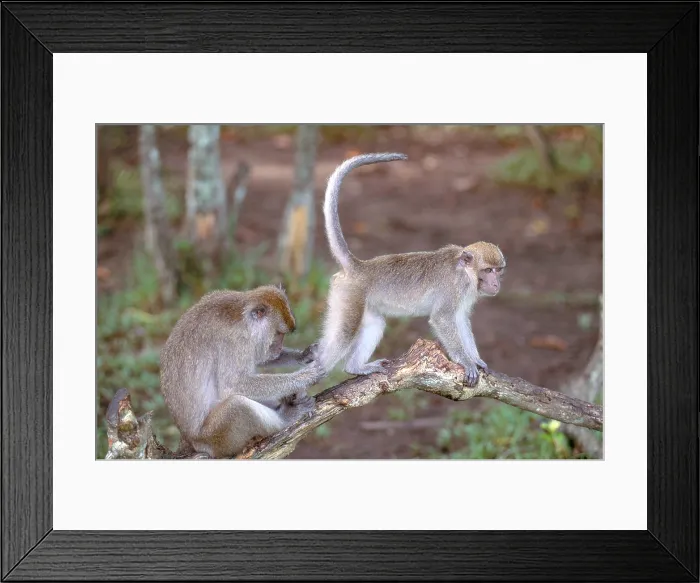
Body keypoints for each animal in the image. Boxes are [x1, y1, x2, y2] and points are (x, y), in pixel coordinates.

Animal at [159, 284, 324, 458]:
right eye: (278, 333)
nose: (279, 348)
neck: (241, 315)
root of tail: (191, 441)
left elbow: (259, 358)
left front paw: (304, 355)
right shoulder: (235, 342)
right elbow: (232, 385)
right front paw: (305, 377)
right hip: (216, 438)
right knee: (238, 406)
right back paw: (287, 417)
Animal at [314, 152, 506, 388]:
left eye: (498, 270)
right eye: (488, 270)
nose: (495, 283)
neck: (465, 271)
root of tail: (357, 266)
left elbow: (460, 319)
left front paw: (475, 359)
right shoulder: (456, 286)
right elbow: (443, 319)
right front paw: (466, 362)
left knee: (375, 324)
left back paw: (355, 368)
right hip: (349, 295)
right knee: (344, 332)